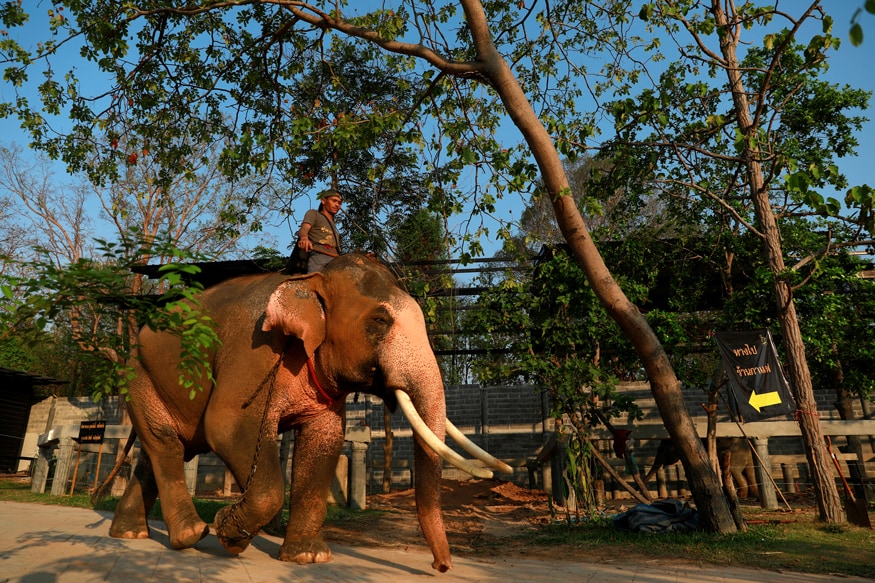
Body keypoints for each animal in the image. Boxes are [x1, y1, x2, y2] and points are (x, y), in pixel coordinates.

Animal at [98, 253, 510, 572]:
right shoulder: (253, 351)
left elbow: (325, 439)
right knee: (167, 445)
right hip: (138, 375)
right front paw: (228, 531)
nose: (441, 566)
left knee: (162, 450)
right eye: (380, 322)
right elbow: (227, 425)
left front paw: (308, 558)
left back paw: (131, 533)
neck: (313, 280)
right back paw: (191, 534)